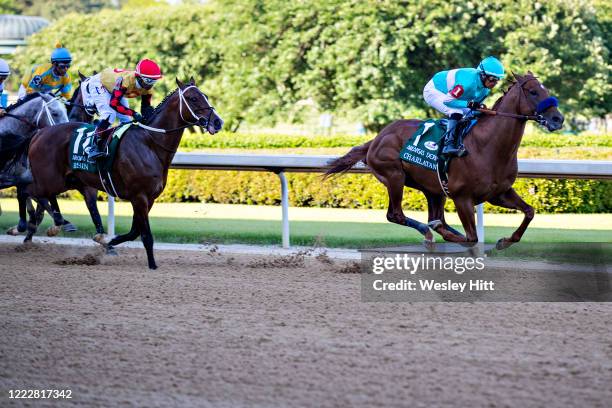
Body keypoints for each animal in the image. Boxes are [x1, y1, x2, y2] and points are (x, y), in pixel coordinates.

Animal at [28, 78, 224, 270]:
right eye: (193, 98)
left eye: (205, 96)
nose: (218, 122)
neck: (150, 143)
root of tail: (40, 133)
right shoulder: (139, 196)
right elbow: (146, 235)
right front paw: (152, 265)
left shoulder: (149, 198)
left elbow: (134, 231)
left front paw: (109, 241)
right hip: (50, 178)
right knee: (33, 192)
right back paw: (51, 224)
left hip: (70, 180)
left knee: (46, 195)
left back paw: (58, 223)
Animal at [326, 71, 564, 247]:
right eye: (533, 92)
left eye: (546, 90)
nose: (558, 119)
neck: (489, 147)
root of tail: (376, 138)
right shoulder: (462, 198)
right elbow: (471, 238)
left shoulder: (499, 194)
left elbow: (530, 211)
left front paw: (506, 240)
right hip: (394, 177)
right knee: (395, 215)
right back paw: (429, 231)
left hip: (433, 189)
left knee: (435, 215)